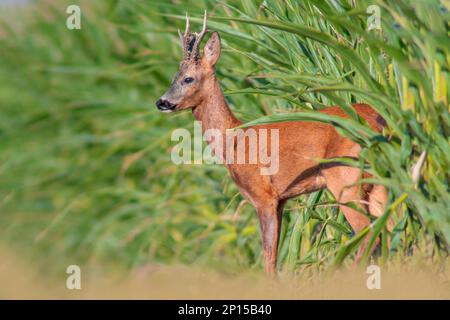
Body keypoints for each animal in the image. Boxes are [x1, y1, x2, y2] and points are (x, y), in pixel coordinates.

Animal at [156, 11, 388, 272]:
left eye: (188, 79)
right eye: (173, 77)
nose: (161, 102)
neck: (234, 140)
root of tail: (379, 121)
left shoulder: (264, 195)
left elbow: (268, 257)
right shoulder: (281, 199)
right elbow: (274, 255)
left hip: (346, 179)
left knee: (370, 234)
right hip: (377, 181)